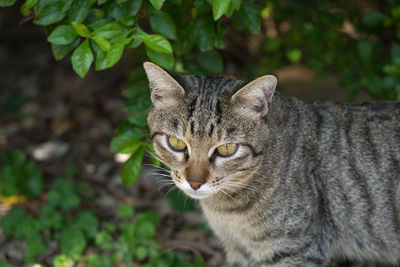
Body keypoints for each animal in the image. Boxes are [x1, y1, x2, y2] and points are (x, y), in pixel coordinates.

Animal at [144, 61, 400, 266]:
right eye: (176, 143)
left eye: (227, 149)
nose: (195, 182)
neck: (228, 211)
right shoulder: (239, 250)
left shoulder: (293, 251)